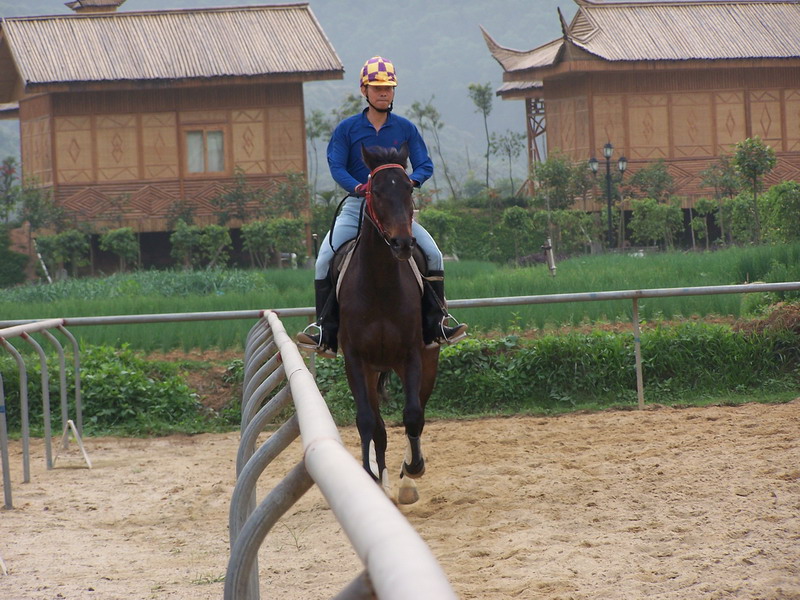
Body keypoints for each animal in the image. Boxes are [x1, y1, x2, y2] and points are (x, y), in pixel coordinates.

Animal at [336, 143, 440, 504]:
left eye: (409, 188)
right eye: (376, 191)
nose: (402, 244)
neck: (380, 285)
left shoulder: (412, 355)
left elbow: (413, 415)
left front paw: (413, 470)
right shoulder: (355, 360)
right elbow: (368, 421)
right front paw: (371, 478)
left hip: (425, 362)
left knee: (418, 410)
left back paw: (407, 479)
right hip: (372, 370)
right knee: (378, 424)